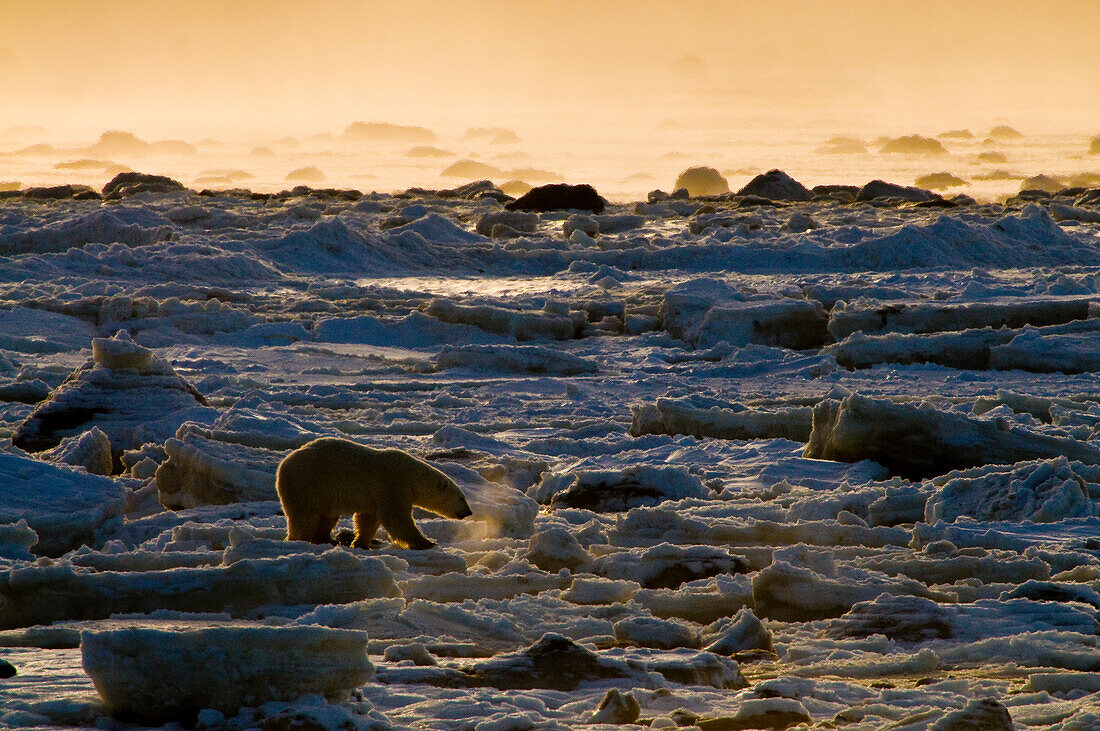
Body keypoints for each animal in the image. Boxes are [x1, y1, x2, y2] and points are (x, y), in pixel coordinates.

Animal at [277, 433, 470, 547]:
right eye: (462, 498)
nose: (468, 512)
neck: (412, 475)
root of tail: (284, 463)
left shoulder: (375, 495)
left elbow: (368, 518)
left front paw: (361, 542)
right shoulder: (392, 483)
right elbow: (396, 518)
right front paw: (427, 543)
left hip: (322, 493)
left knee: (327, 516)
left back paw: (327, 539)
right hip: (306, 485)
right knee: (304, 517)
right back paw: (299, 540)